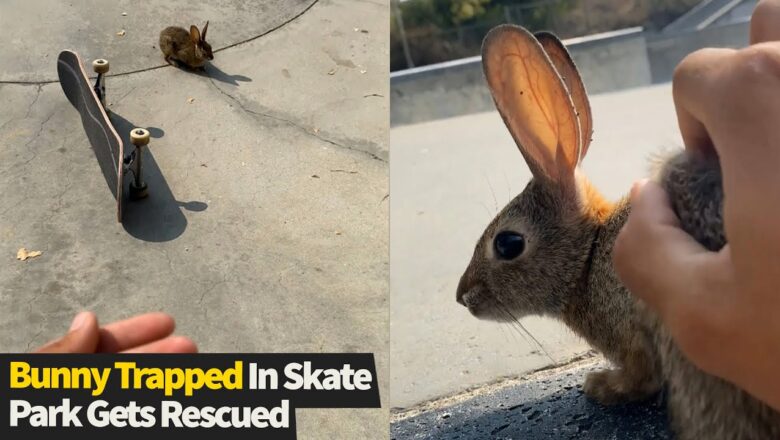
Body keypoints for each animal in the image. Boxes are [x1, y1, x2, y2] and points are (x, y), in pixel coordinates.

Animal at [458, 24, 780, 440]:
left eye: (508, 243)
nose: (463, 296)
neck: (588, 258)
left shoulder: (634, 334)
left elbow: (641, 378)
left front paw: (599, 386)